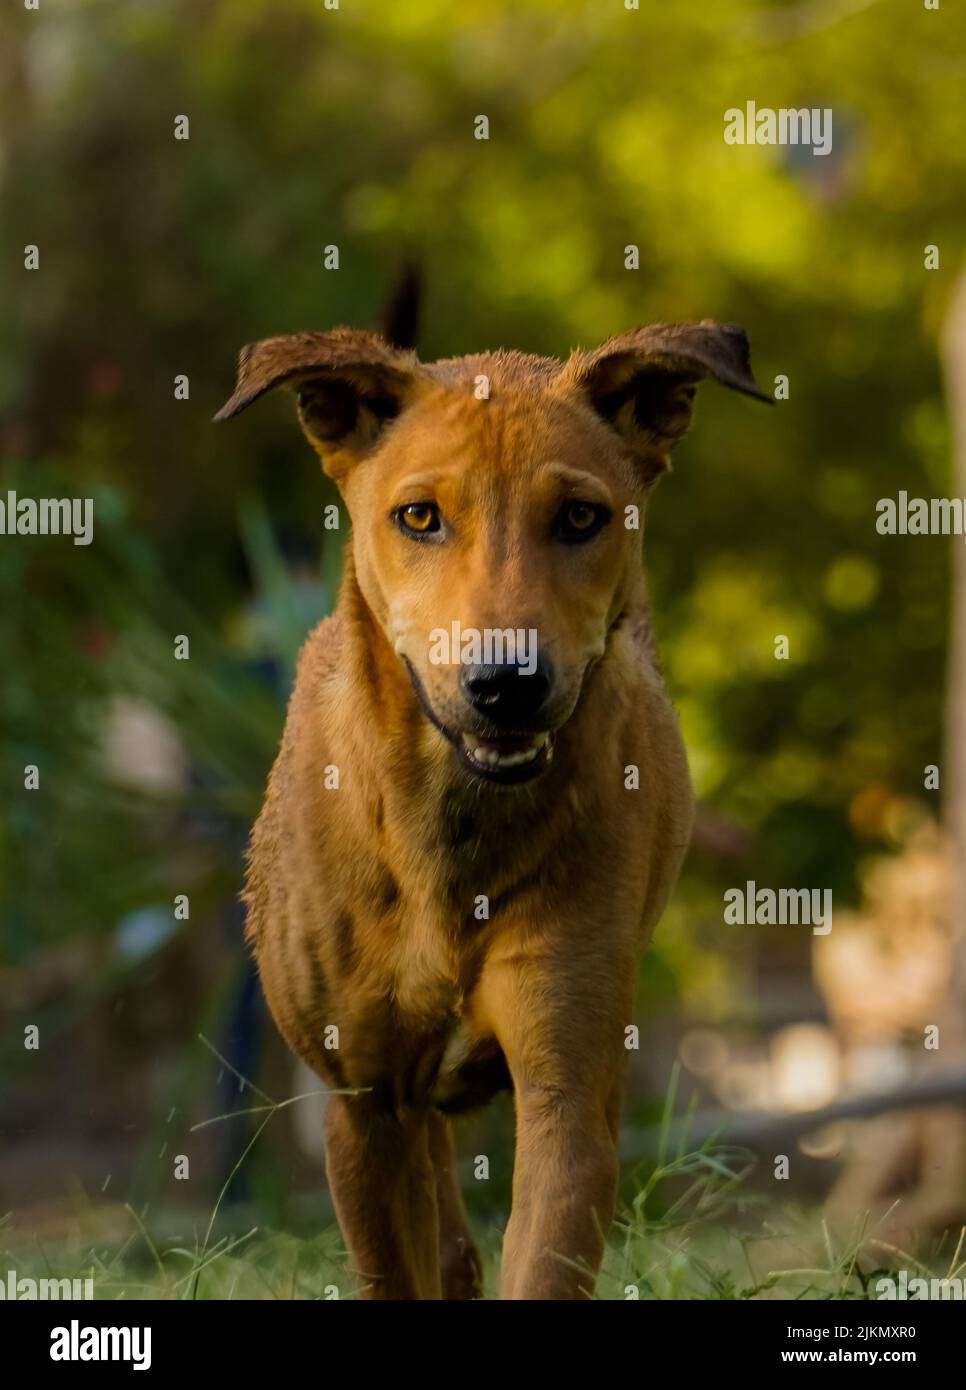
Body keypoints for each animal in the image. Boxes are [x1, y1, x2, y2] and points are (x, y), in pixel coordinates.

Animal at [215, 319, 767, 1295]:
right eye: (418, 516)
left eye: (581, 516)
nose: (507, 683)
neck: (453, 827)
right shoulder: (362, 1104)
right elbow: (396, 1261)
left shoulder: (565, 1084)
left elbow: (544, 1247)